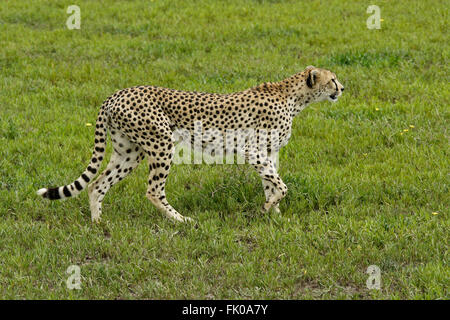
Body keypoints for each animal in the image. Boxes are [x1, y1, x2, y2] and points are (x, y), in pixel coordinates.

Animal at [37, 65, 344, 222]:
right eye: (332, 79)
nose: (342, 88)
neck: (293, 97)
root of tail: (117, 93)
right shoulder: (252, 151)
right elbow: (281, 185)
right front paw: (269, 209)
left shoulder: (268, 153)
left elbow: (272, 184)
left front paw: (273, 213)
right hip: (161, 144)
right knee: (153, 191)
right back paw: (182, 220)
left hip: (129, 152)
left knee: (97, 184)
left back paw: (98, 223)